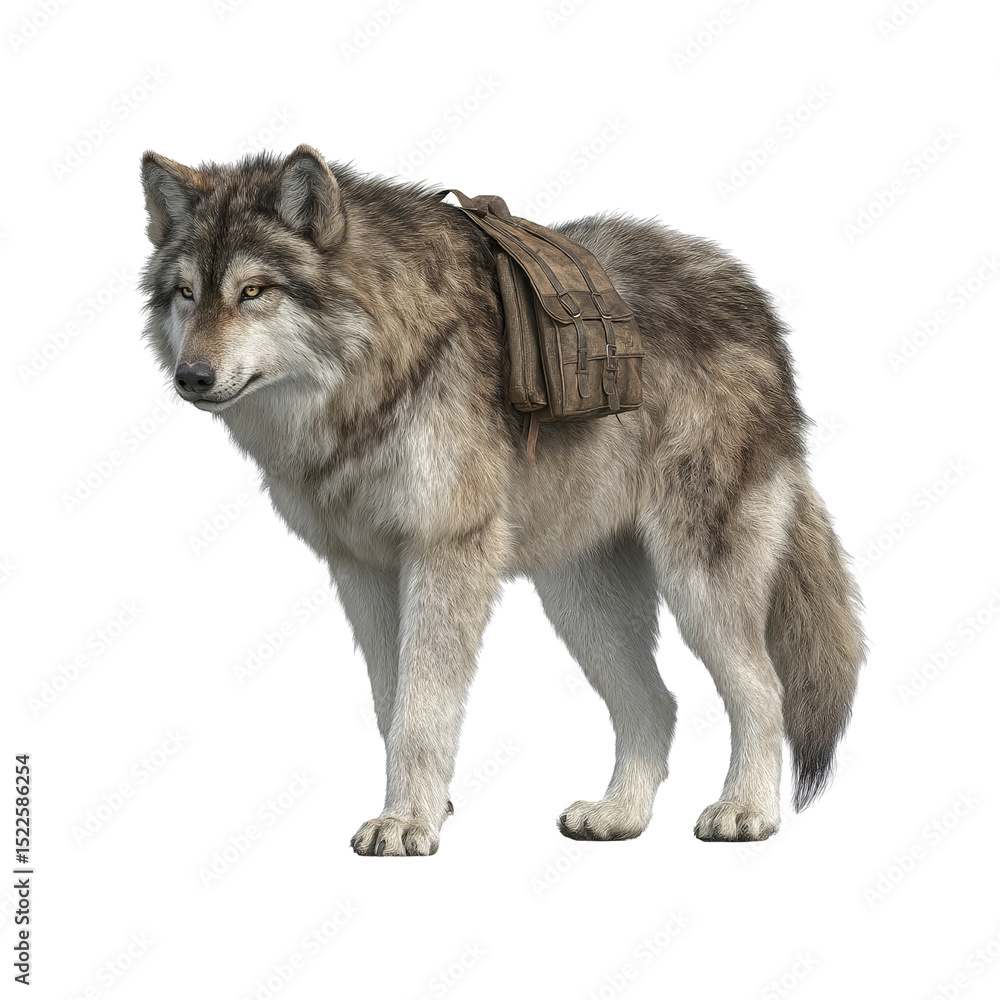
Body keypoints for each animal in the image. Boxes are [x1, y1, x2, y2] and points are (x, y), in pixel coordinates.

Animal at [140, 145, 865, 856]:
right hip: (581, 601)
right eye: (187, 294)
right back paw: (618, 816)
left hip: (697, 583)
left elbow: (421, 713)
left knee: (764, 690)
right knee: (658, 705)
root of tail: (754, 300)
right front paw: (426, 808)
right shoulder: (361, 568)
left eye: (253, 291)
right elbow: (389, 705)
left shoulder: (445, 554)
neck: (377, 374)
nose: (191, 376)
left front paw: (407, 824)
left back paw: (746, 812)